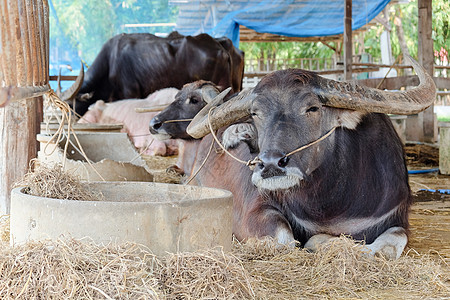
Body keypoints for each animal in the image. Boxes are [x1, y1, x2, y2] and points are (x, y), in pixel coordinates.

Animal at [151, 57, 436, 258]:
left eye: (312, 108)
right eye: (255, 113)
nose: (270, 165)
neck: (330, 204)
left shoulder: (396, 216)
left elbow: (388, 246)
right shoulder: (251, 213)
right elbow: (286, 240)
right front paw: (318, 241)